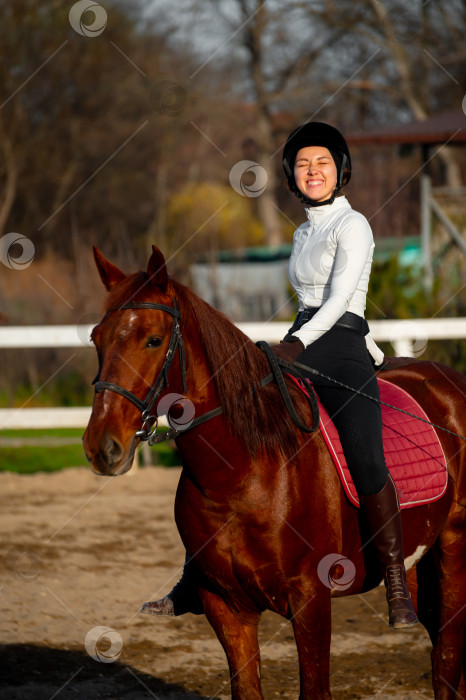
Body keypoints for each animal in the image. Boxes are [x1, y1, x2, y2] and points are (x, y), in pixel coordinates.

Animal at [83, 245, 466, 700]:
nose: (102, 446)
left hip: (455, 550)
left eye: (153, 340)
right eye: (96, 338)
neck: (241, 475)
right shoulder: (226, 606)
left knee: (448, 658)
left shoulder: (311, 600)